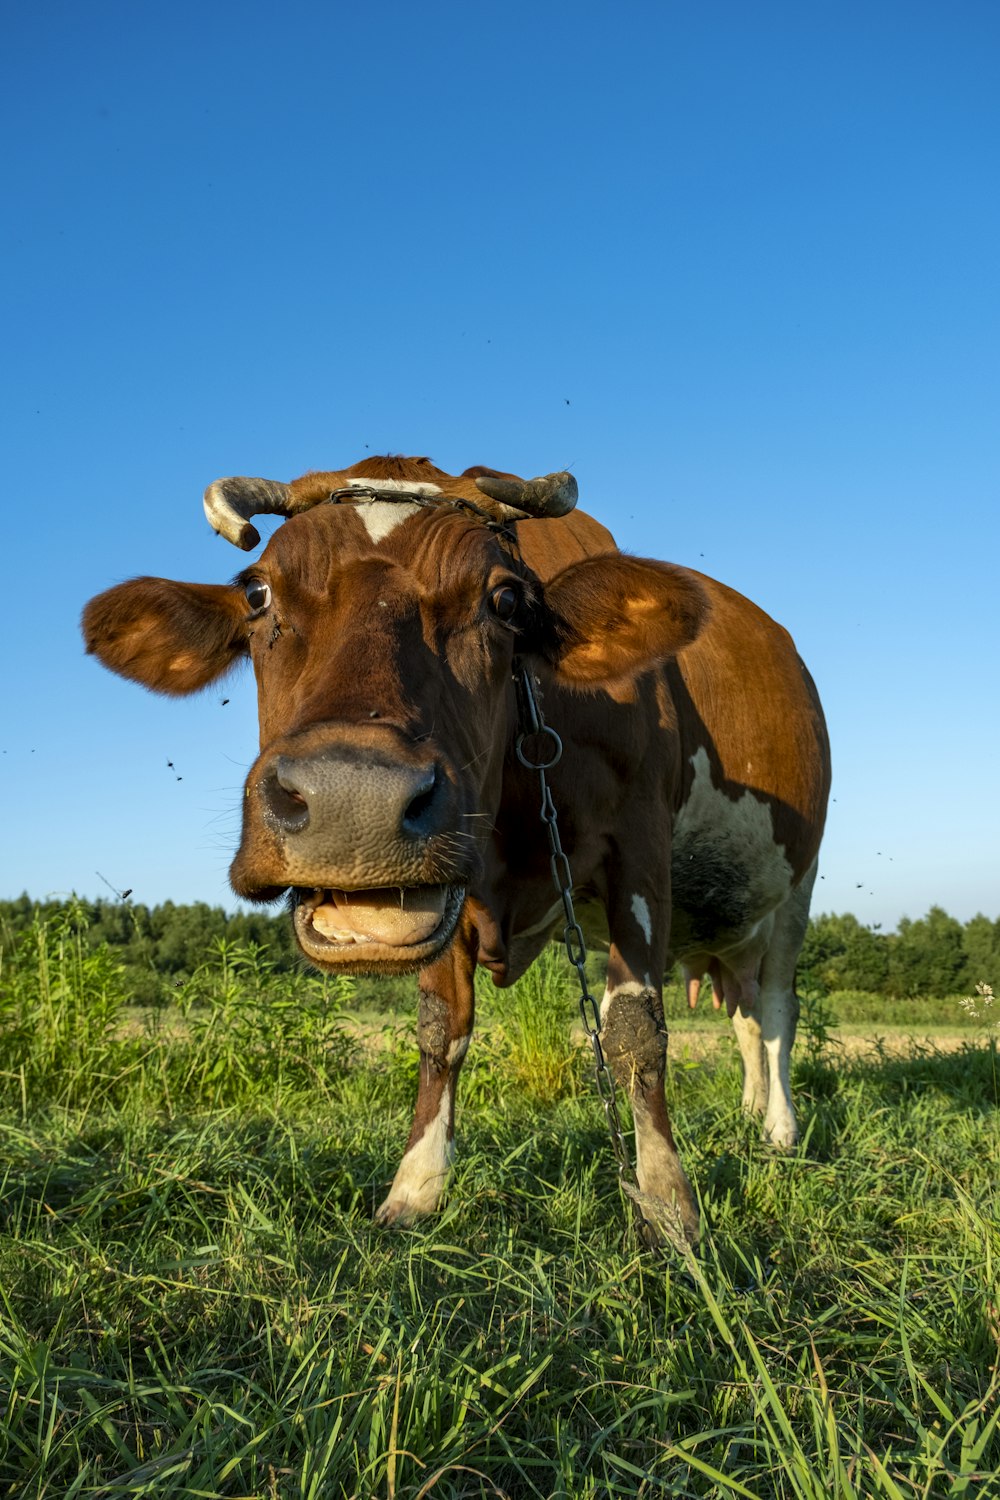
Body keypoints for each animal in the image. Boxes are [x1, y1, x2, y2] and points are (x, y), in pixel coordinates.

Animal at [82, 453, 827, 1242]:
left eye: (504, 600)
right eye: (257, 593)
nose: (354, 801)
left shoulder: (640, 845)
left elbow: (634, 1029)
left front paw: (668, 1204)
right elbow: (442, 1028)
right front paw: (415, 1188)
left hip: (799, 884)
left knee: (777, 1010)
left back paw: (779, 1129)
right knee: (745, 1016)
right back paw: (750, 1111)